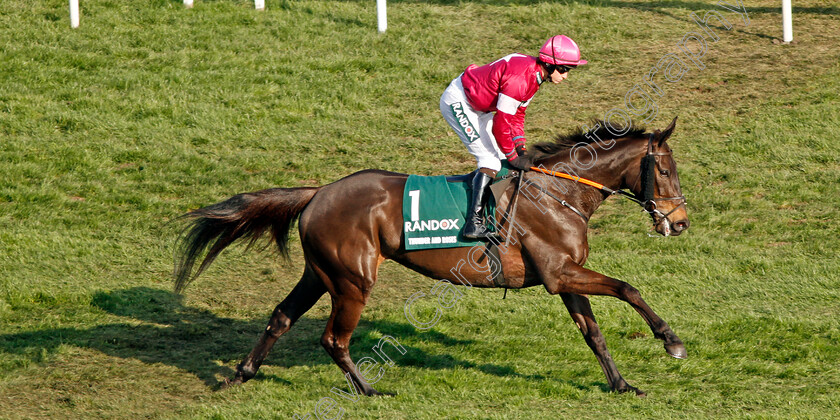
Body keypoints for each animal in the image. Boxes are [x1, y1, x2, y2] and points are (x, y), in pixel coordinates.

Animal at [172, 117, 688, 398]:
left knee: (281, 317)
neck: (558, 193)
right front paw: (671, 340)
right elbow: (629, 288)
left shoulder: (563, 277)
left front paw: (621, 384)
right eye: (664, 169)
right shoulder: (562, 274)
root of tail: (318, 192)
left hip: (320, 274)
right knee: (333, 339)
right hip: (353, 280)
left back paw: (242, 373)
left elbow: (594, 334)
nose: (680, 221)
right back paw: (369, 390)